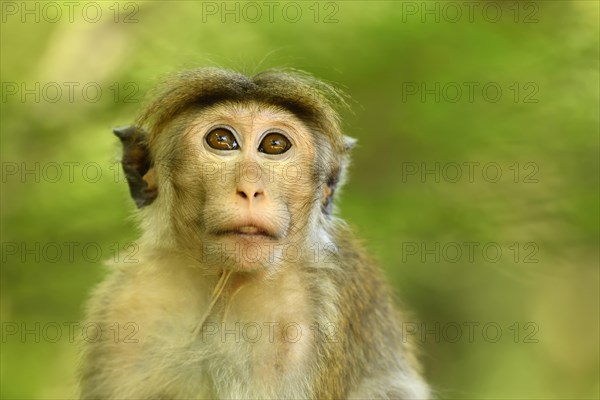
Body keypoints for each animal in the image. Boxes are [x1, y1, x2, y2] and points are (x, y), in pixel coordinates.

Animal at [79, 67, 428, 398]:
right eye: (221, 140)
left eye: (274, 145)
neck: (225, 287)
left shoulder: (315, 317)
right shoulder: (124, 309)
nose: (249, 189)